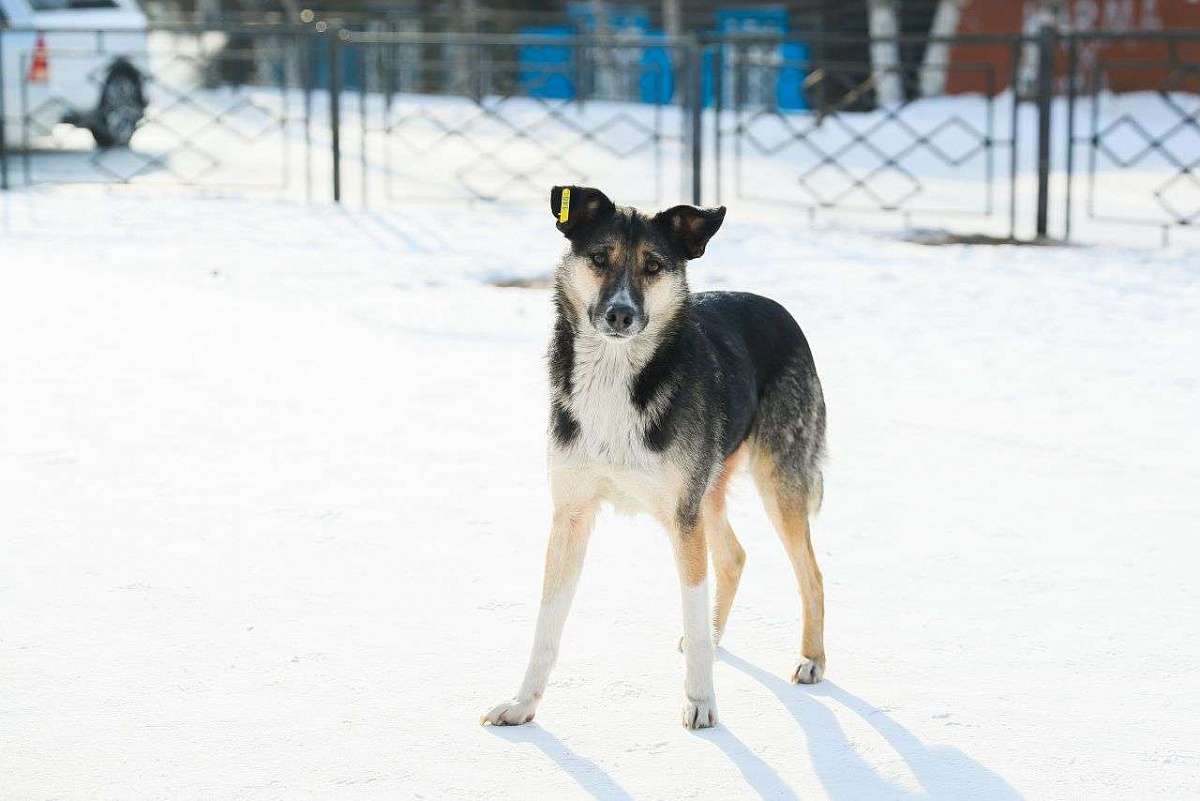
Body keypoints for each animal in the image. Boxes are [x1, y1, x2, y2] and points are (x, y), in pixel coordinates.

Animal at [477, 189, 825, 733]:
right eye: (600, 258)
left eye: (655, 265)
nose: (620, 314)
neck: (614, 377)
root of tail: (778, 308)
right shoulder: (571, 515)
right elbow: (547, 624)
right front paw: (523, 704)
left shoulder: (682, 519)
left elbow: (693, 604)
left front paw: (700, 701)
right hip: (708, 491)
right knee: (734, 556)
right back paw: (718, 633)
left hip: (776, 479)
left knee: (811, 573)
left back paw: (811, 658)